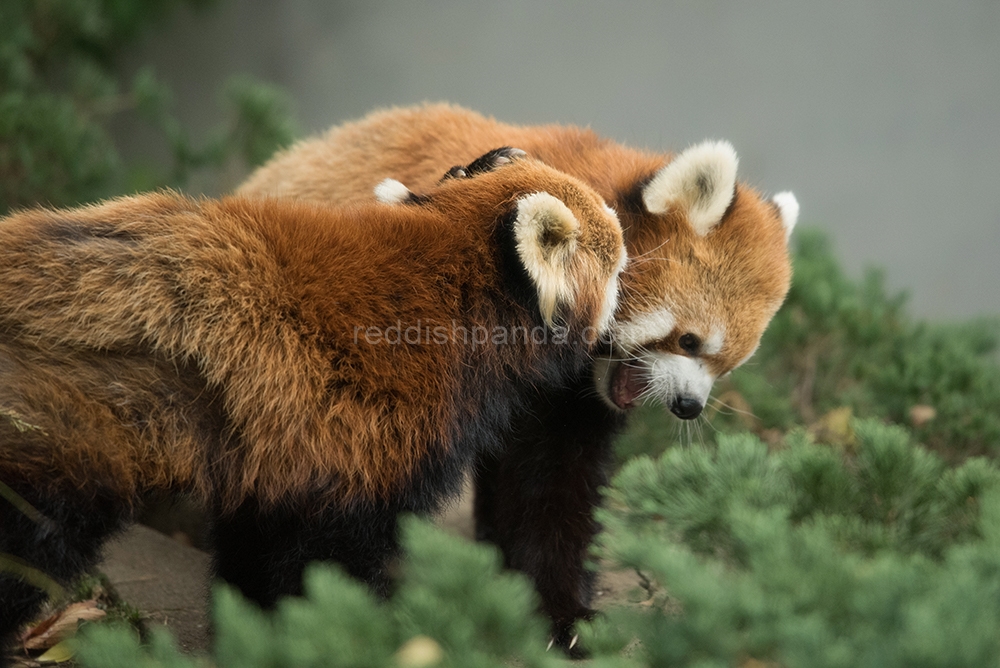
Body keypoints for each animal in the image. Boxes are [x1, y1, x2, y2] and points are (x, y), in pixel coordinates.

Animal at [0, 149, 624, 660]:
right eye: (618, 265)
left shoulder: (279, 449)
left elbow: (258, 546)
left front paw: (256, 633)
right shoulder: (366, 430)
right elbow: (329, 558)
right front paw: (343, 634)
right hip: (69, 425)